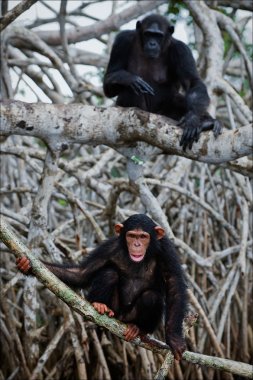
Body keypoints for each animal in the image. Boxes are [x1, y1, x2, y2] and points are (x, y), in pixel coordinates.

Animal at [16, 214, 188, 360]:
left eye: (143, 236)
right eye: (132, 235)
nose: (137, 244)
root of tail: (121, 318)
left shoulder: (166, 250)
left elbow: (174, 284)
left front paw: (174, 339)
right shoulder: (108, 247)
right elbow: (82, 273)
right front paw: (27, 265)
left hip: (130, 317)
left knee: (151, 297)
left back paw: (138, 329)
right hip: (115, 309)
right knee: (109, 273)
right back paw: (100, 305)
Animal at [103, 13, 221, 150]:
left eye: (158, 35)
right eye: (148, 34)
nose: (152, 43)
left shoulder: (181, 50)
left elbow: (192, 81)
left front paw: (192, 119)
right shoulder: (122, 41)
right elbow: (110, 80)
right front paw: (129, 78)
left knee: (180, 99)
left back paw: (207, 123)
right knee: (132, 89)